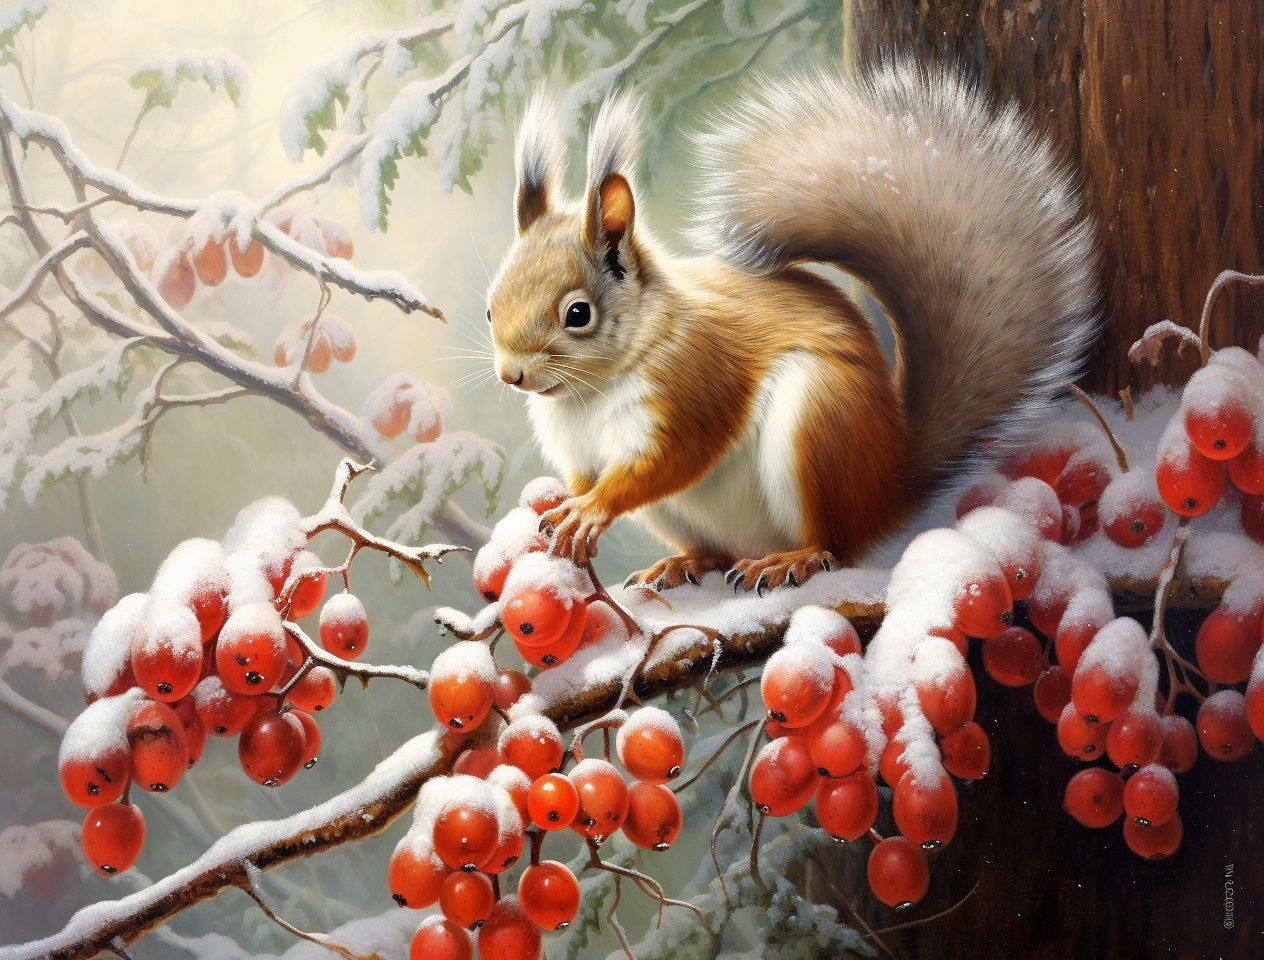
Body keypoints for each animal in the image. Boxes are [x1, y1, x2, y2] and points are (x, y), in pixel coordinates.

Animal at [485, 62, 1099, 592]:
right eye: (490, 308)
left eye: (578, 314)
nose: (511, 376)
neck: (592, 390)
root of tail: (888, 486)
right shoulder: (580, 452)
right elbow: (590, 479)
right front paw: (572, 512)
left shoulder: (693, 383)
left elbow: (672, 459)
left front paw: (592, 510)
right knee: (717, 552)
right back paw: (683, 562)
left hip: (818, 422)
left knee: (835, 546)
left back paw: (792, 560)